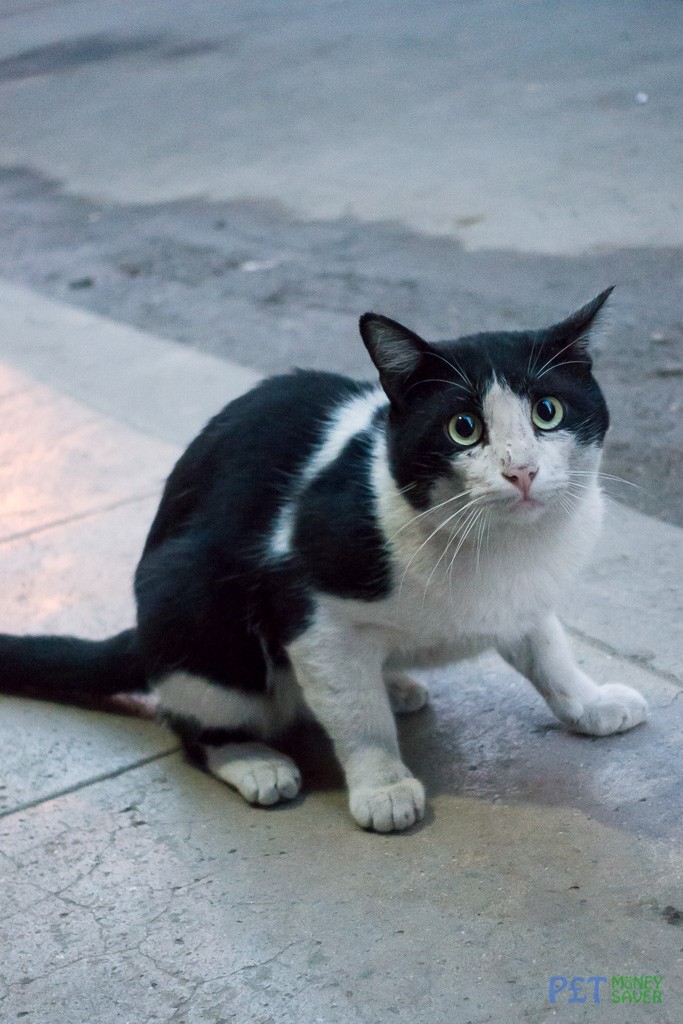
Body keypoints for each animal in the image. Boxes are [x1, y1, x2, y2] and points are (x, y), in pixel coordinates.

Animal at [0, 288, 647, 831]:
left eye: (548, 411)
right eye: (463, 427)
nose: (522, 471)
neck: (504, 546)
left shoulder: (527, 599)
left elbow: (550, 655)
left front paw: (591, 704)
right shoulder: (306, 604)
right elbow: (357, 716)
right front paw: (382, 786)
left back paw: (396, 684)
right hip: (186, 595)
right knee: (191, 721)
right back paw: (252, 759)